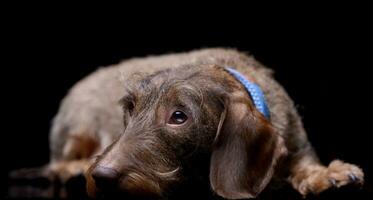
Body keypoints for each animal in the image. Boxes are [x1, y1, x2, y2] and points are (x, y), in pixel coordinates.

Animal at [43, 48, 364, 198]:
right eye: (131, 109)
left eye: (178, 116)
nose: (100, 176)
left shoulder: (296, 143)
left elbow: (306, 165)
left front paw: (327, 174)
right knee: (57, 164)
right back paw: (73, 169)